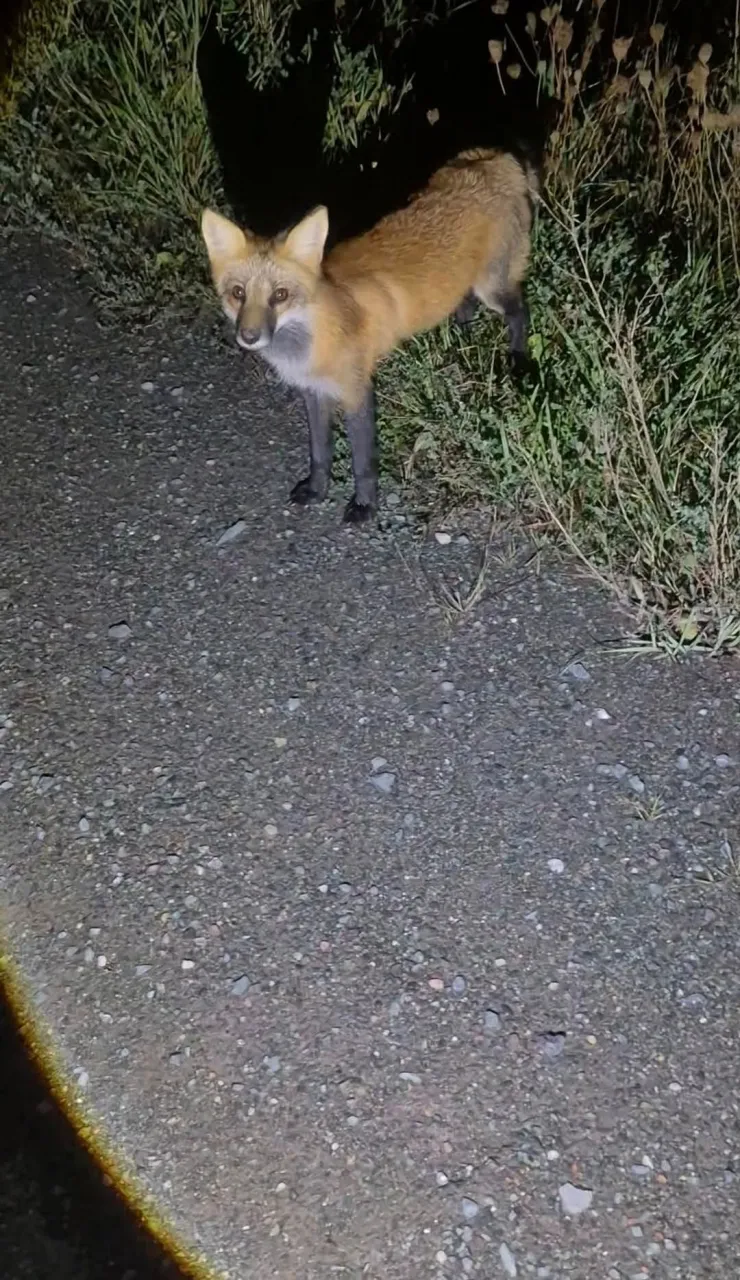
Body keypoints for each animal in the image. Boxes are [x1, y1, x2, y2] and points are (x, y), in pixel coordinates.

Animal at [201, 146, 538, 524]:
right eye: (238, 294)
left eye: (280, 295)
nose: (249, 336)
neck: (309, 342)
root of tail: (493, 156)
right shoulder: (314, 393)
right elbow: (320, 452)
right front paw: (317, 491)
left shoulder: (357, 391)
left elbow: (363, 462)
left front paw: (364, 506)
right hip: (466, 286)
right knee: (465, 309)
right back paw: (460, 346)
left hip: (492, 288)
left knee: (519, 312)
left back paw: (520, 363)